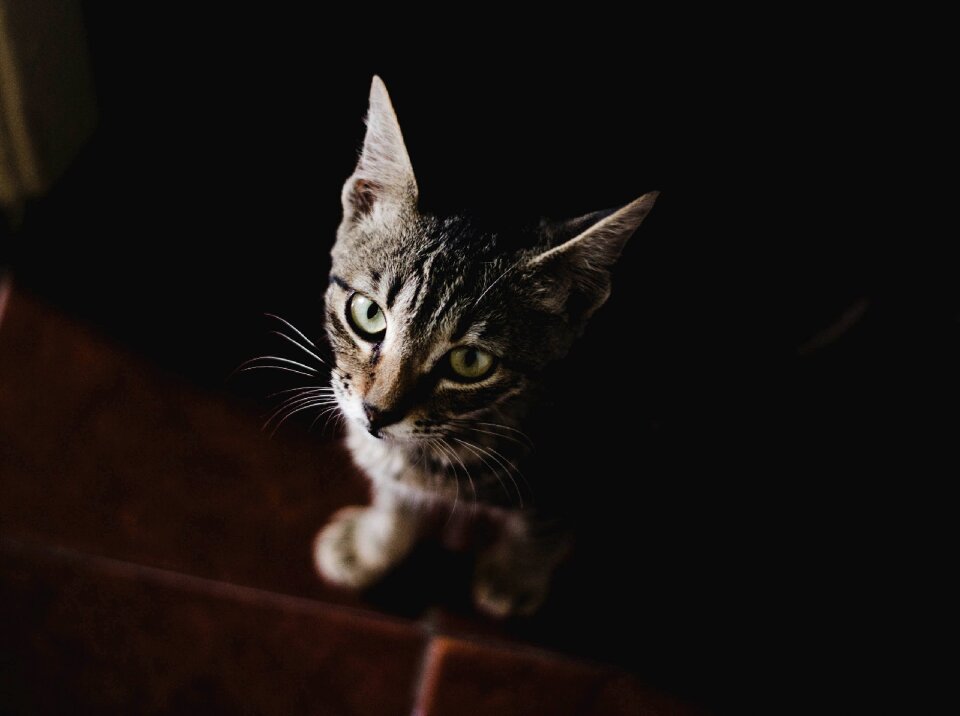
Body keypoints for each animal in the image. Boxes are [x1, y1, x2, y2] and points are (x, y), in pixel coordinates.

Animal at [316, 75, 660, 620]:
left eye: (470, 362)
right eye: (368, 314)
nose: (375, 413)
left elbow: (544, 525)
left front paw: (516, 573)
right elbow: (397, 497)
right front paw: (375, 543)